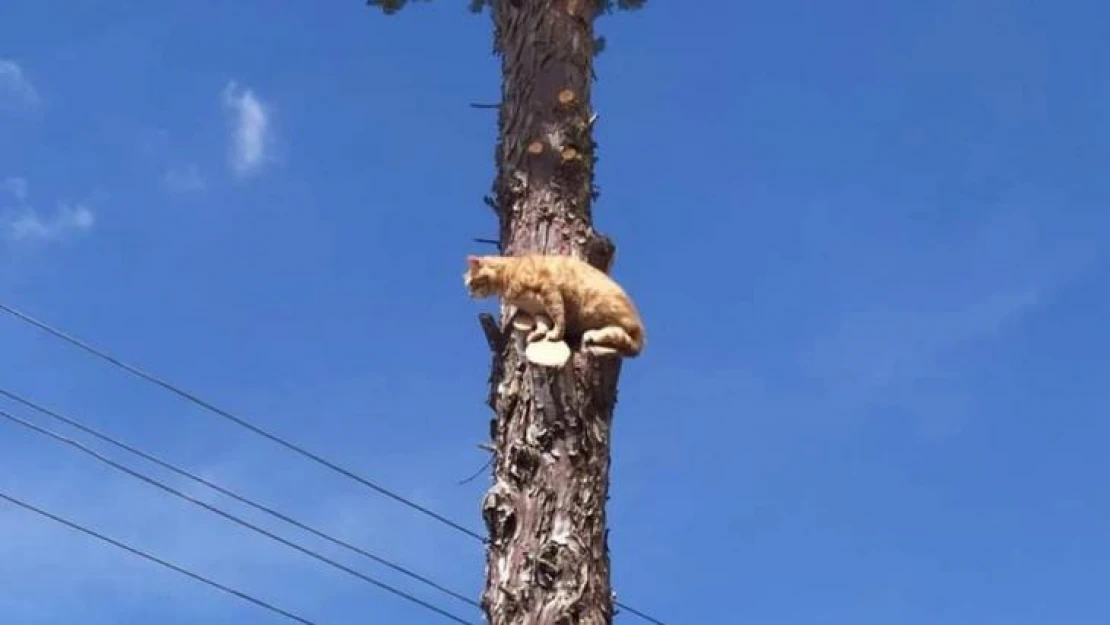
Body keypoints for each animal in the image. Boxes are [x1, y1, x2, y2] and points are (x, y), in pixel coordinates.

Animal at [463, 253, 648, 359]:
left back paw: (592, 335)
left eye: (471, 283)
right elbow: (542, 323)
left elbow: (558, 316)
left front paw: (555, 334)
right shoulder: (538, 310)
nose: (469, 295)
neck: (508, 274)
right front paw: (538, 334)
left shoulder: (549, 291)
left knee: (622, 336)